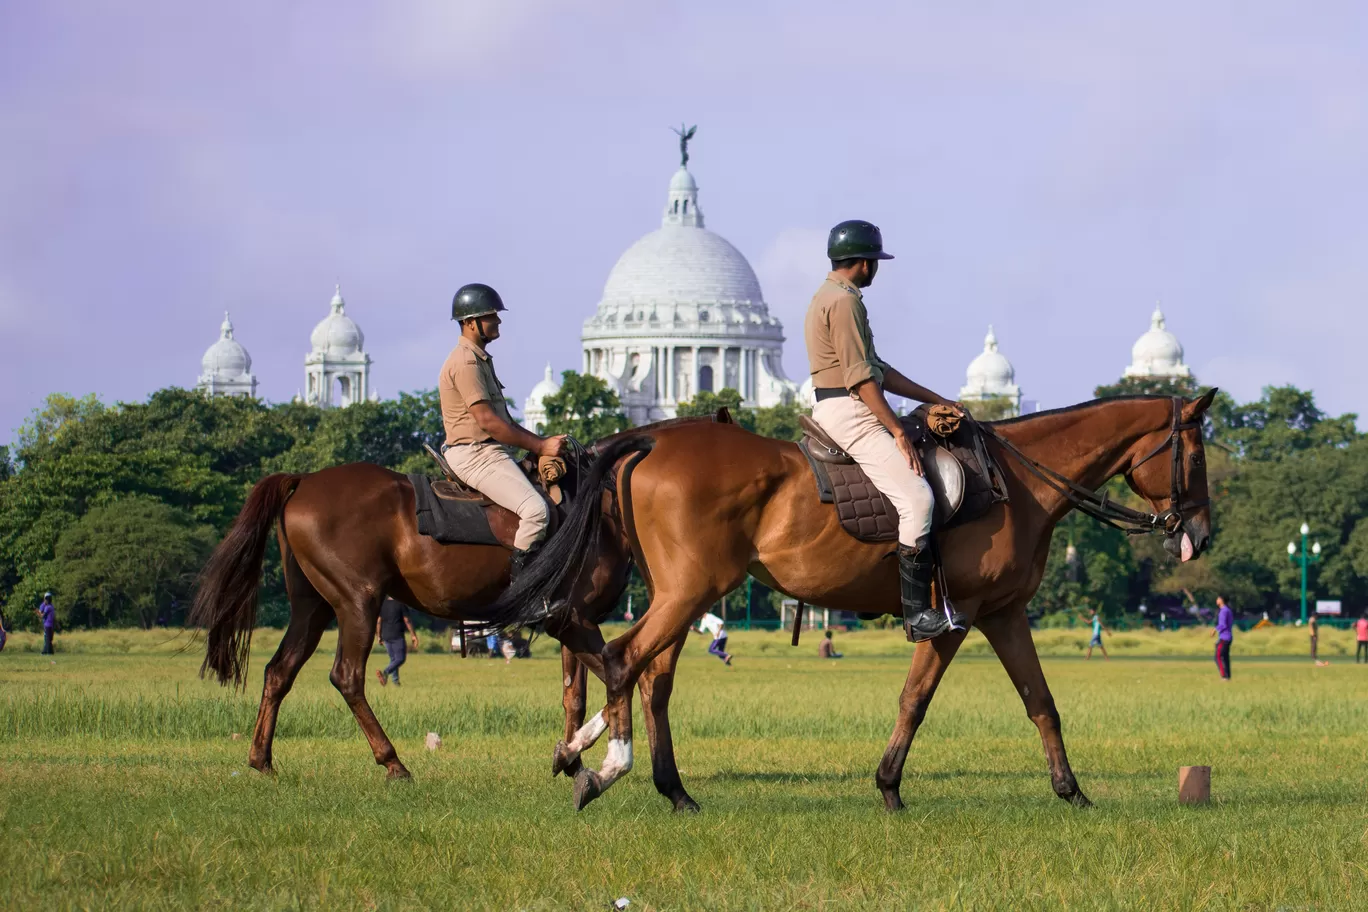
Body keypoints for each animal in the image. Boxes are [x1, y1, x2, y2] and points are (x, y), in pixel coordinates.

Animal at [187, 423, 705, 782]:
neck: (599, 502)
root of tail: (305, 481)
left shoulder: (571, 620)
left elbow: (575, 694)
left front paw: (573, 758)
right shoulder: (575, 619)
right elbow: (622, 675)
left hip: (311, 607)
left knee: (280, 671)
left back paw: (262, 760)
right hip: (358, 603)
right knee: (347, 677)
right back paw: (393, 762)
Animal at [489, 393, 1220, 814]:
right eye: (1195, 453)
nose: (1200, 533)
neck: (1015, 482)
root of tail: (652, 439)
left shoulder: (1004, 612)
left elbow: (1041, 701)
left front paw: (1072, 792)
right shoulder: (956, 618)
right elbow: (915, 699)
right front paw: (890, 787)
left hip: (682, 591)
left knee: (648, 673)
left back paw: (663, 786)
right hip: (692, 588)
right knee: (621, 656)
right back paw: (605, 769)